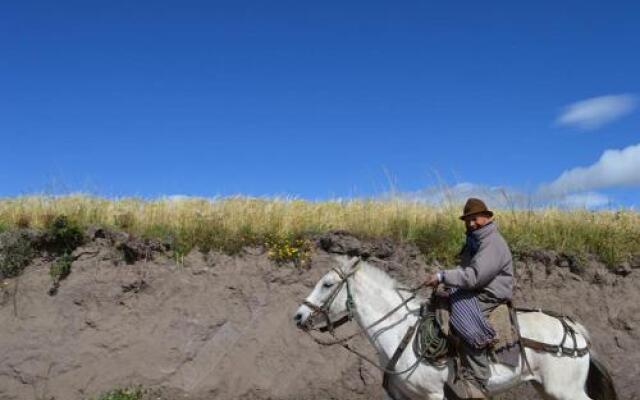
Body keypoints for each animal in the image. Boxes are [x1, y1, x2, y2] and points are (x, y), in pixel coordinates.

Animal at [294, 256, 616, 400]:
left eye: (327, 284)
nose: (298, 316)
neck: (402, 334)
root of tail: (573, 328)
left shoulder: (433, 395)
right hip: (547, 388)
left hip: (566, 390)